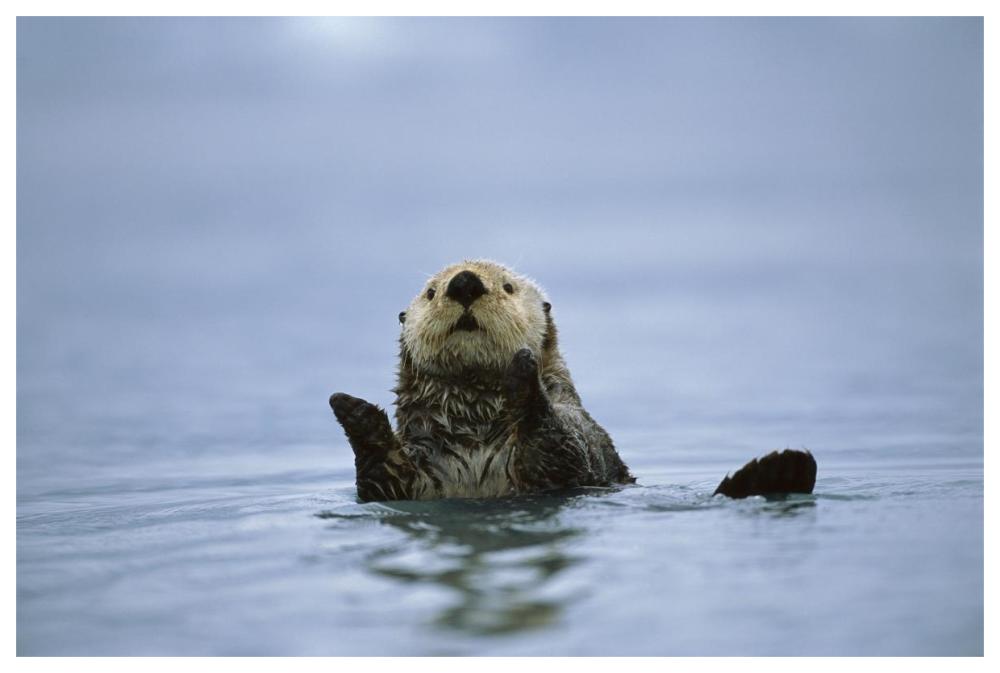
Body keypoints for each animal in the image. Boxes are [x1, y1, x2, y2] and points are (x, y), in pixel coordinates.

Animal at [329, 259, 816, 502]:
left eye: (507, 287)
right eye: (431, 292)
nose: (464, 283)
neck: (473, 429)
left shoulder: (569, 443)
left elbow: (560, 446)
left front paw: (524, 373)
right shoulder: (417, 475)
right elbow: (382, 476)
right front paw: (349, 408)